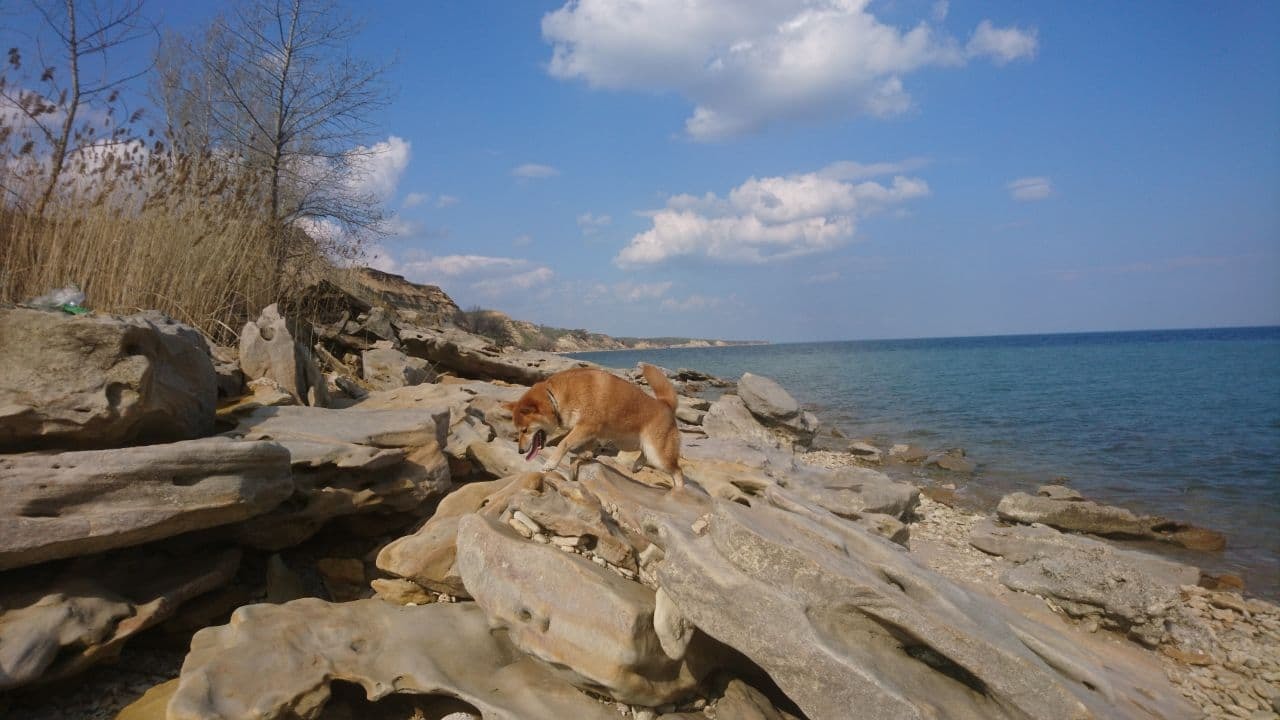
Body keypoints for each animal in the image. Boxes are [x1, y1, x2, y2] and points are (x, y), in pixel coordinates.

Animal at [504, 363, 686, 486]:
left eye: (525, 430)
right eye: (518, 431)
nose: (520, 451)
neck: (555, 397)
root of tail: (665, 404)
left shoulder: (587, 426)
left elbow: (564, 443)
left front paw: (551, 463)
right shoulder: (589, 432)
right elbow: (584, 448)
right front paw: (584, 456)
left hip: (658, 454)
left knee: (677, 471)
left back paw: (678, 491)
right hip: (633, 443)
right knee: (645, 455)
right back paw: (637, 465)